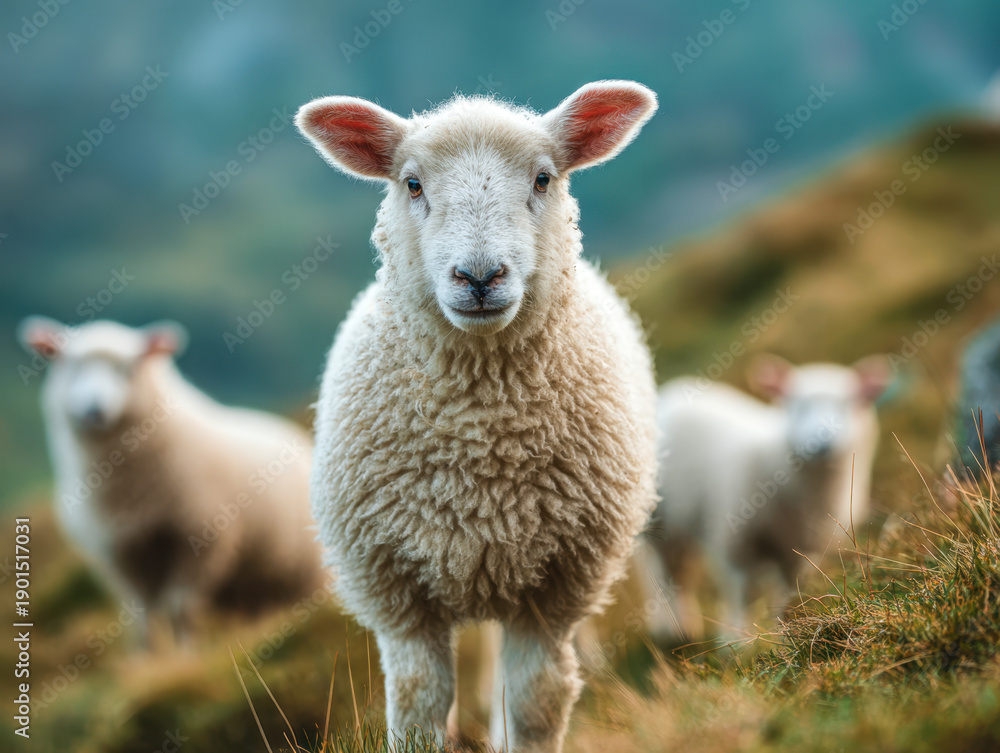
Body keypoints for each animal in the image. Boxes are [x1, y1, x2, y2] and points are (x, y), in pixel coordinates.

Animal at [17, 317, 326, 645]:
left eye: (129, 370)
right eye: (70, 365)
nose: (94, 410)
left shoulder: (197, 539)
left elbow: (181, 609)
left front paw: (187, 652)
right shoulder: (121, 551)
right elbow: (141, 616)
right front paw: (147, 656)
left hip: (304, 573)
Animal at [295, 81, 659, 751]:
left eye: (543, 178)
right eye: (412, 183)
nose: (480, 276)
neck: (482, 443)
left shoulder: (554, 590)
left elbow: (537, 704)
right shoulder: (399, 597)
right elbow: (419, 706)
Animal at [642, 355, 889, 640]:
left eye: (851, 403)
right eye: (795, 404)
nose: (823, 442)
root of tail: (674, 388)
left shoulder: (801, 551)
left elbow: (789, 592)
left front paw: (784, 631)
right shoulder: (736, 542)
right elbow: (744, 594)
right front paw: (738, 640)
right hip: (661, 521)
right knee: (668, 575)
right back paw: (676, 627)